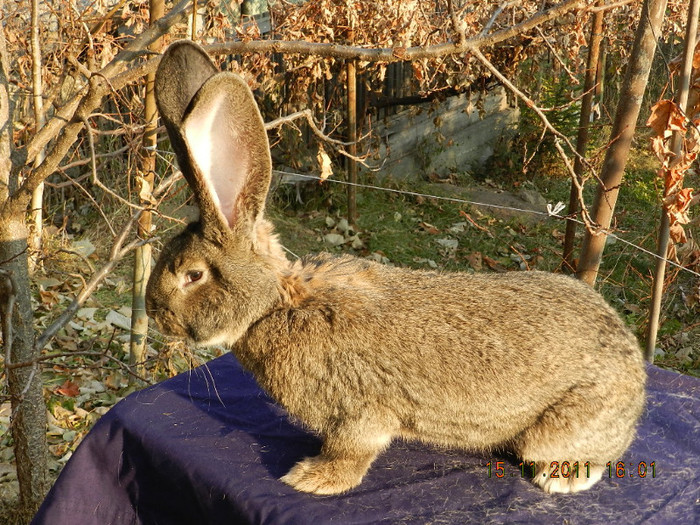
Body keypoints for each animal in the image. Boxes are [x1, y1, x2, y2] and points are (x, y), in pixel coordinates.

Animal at [146, 40, 644, 496]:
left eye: (193, 275)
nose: (153, 313)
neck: (277, 305)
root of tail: (636, 378)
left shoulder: (359, 411)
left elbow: (353, 450)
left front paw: (312, 479)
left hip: (563, 426)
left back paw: (561, 477)